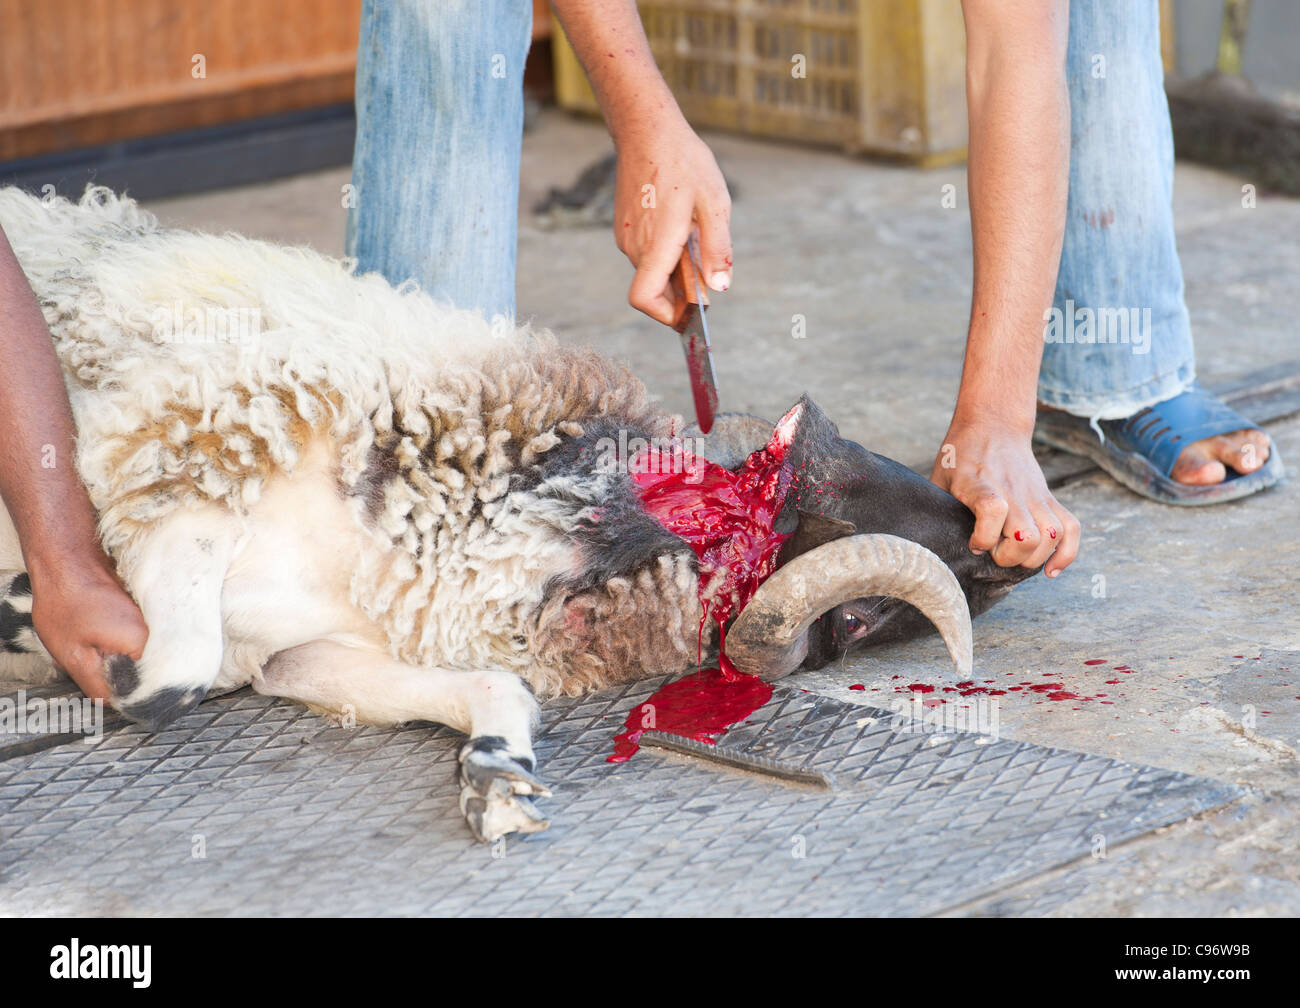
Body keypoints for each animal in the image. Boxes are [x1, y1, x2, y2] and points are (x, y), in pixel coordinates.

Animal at [0, 184, 1034, 837]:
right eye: (856, 620)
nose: (1008, 553)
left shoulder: (310, 653)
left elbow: (494, 690)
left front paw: (497, 779)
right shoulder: (168, 468)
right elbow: (173, 672)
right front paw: (37, 622)